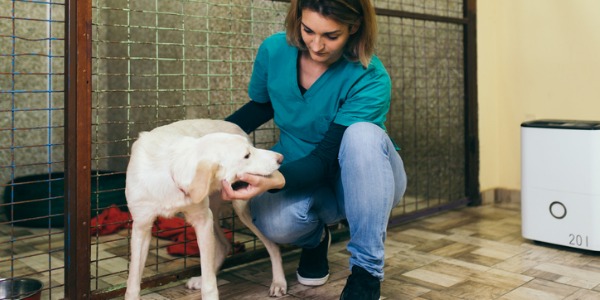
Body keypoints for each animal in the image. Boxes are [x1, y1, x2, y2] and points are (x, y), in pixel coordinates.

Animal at [123, 118, 286, 298]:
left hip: (239, 208)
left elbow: (210, 282)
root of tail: (237, 127)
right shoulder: (141, 226)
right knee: (224, 246)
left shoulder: (202, 222)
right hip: (213, 213)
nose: (280, 158)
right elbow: (133, 280)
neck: (171, 168)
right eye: (246, 155)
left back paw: (279, 282)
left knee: (272, 246)